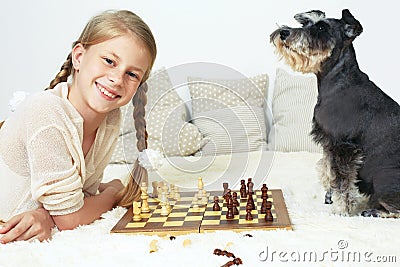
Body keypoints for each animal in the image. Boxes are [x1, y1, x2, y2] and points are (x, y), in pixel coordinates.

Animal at [270, 9, 400, 219]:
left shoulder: (343, 146)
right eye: (305, 23)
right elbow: (327, 169)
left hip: (384, 179)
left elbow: (342, 182)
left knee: (394, 208)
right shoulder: (329, 143)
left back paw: (373, 211)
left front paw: (341, 210)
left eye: (322, 28)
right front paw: (330, 196)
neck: (338, 82)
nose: (284, 33)